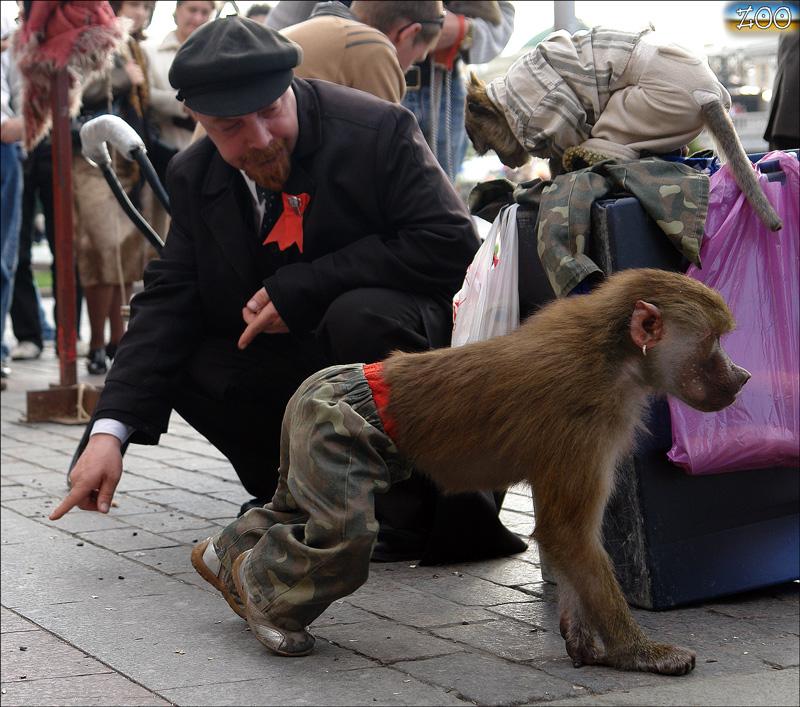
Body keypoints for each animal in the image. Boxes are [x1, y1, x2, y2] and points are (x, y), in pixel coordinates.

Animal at [194, 268, 752, 672]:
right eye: (713, 342)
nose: (743, 375)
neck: (614, 353)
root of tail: (325, 381)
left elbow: (566, 537)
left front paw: (582, 641)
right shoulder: (584, 420)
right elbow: (568, 533)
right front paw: (637, 652)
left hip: (304, 438)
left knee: (288, 512)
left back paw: (227, 555)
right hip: (330, 432)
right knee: (341, 536)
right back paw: (260, 600)